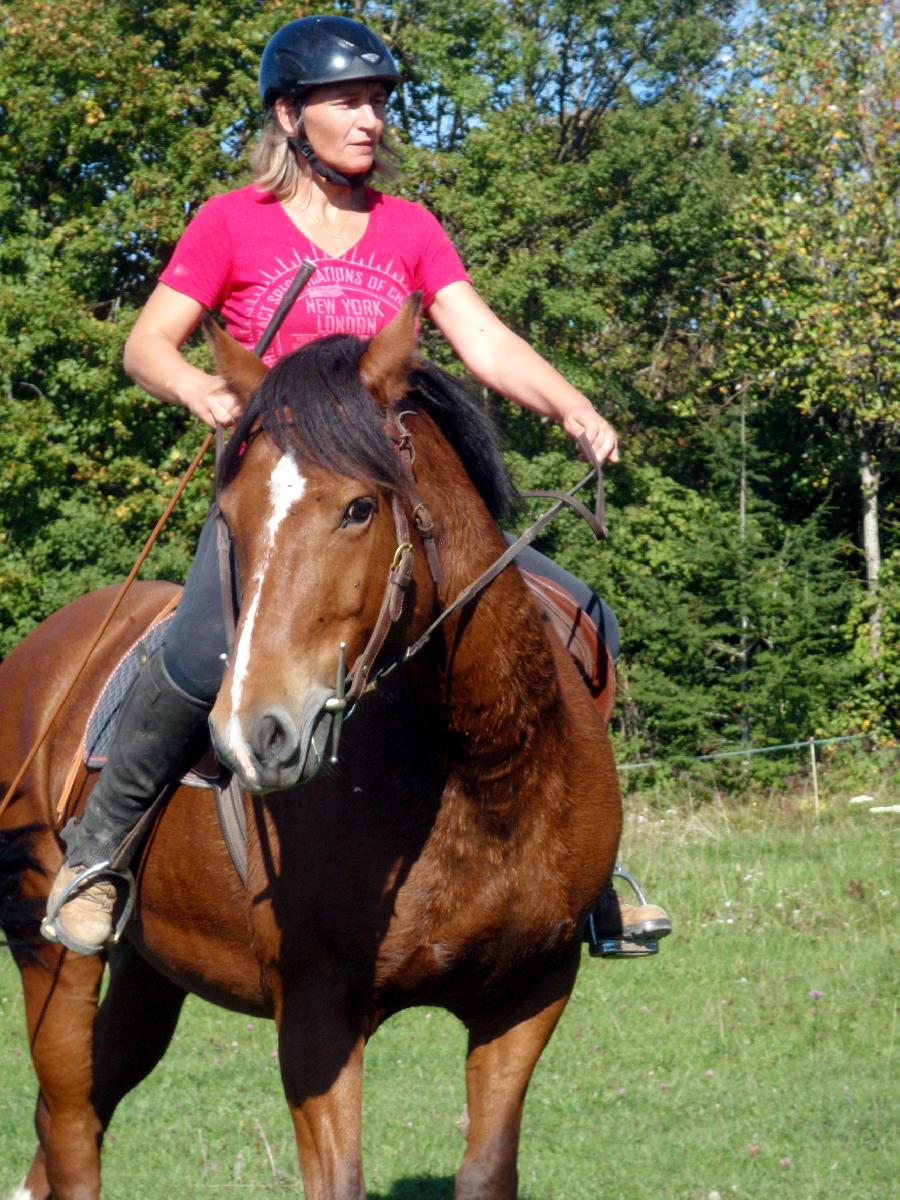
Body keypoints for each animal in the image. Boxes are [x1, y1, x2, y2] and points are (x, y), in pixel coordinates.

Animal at [0, 297, 619, 1190]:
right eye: (230, 520)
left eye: (359, 508)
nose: (253, 733)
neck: (482, 777)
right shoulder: (318, 1012)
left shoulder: (529, 994)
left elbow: (486, 1171)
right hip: (49, 953)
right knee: (74, 1130)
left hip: (150, 973)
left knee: (74, 1115)